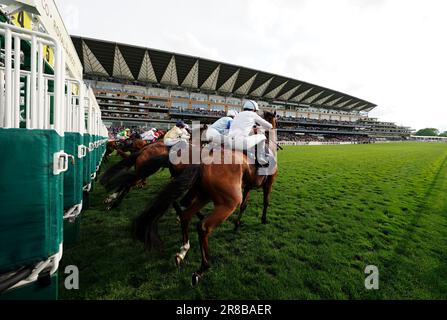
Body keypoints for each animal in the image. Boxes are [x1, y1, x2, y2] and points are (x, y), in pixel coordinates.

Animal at [133, 110, 280, 284]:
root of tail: (203, 162)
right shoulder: (268, 182)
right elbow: (265, 202)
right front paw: (263, 219)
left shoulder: (248, 185)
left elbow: (245, 205)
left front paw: (237, 224)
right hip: (227, 202)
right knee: (203, 226)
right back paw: (202, 268)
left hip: (203, 194)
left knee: (185, 213)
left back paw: (182, 250)